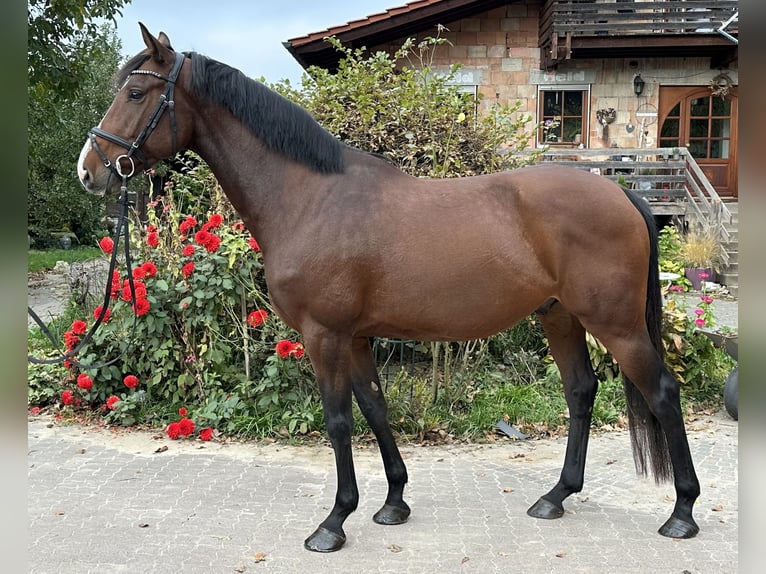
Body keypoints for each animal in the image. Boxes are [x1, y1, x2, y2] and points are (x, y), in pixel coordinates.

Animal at [76, 24, 704, 556]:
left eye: (136, 92)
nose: (90, 170)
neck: (309, 197)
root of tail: (622, 194)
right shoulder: (355, 338)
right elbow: (376, 409)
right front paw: (394, 502)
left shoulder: (324, 337)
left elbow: (338, 422)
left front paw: (333, 523)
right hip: (560, 316)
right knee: (580, 392)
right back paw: (556, 497)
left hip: (617, 325)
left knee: (663, 393)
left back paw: (682, 513)